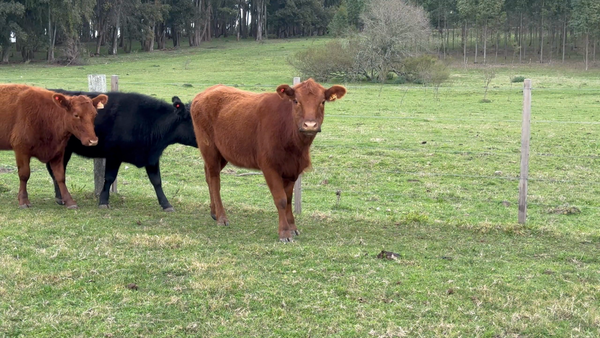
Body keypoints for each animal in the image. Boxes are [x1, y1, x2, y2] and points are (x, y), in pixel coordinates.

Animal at [47, 91, 197, 210]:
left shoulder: (151, 157)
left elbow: (157, 181)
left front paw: (166, 204)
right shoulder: (114, 155)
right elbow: (109, 178)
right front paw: (103, 201)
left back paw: (59, 198)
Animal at [190, 78, 344, 242]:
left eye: (322, 101)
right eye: (296, 101)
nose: (310, 125)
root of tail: (206, 92)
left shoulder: (292, 169)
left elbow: (288, 199)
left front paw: (292, 227)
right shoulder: (269, 167)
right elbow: (280, 199)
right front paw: (284, 233)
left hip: (223, 153)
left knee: (208, 176)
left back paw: (213, 212)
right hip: (209, 148)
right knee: (214, 181)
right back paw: (221, 217)